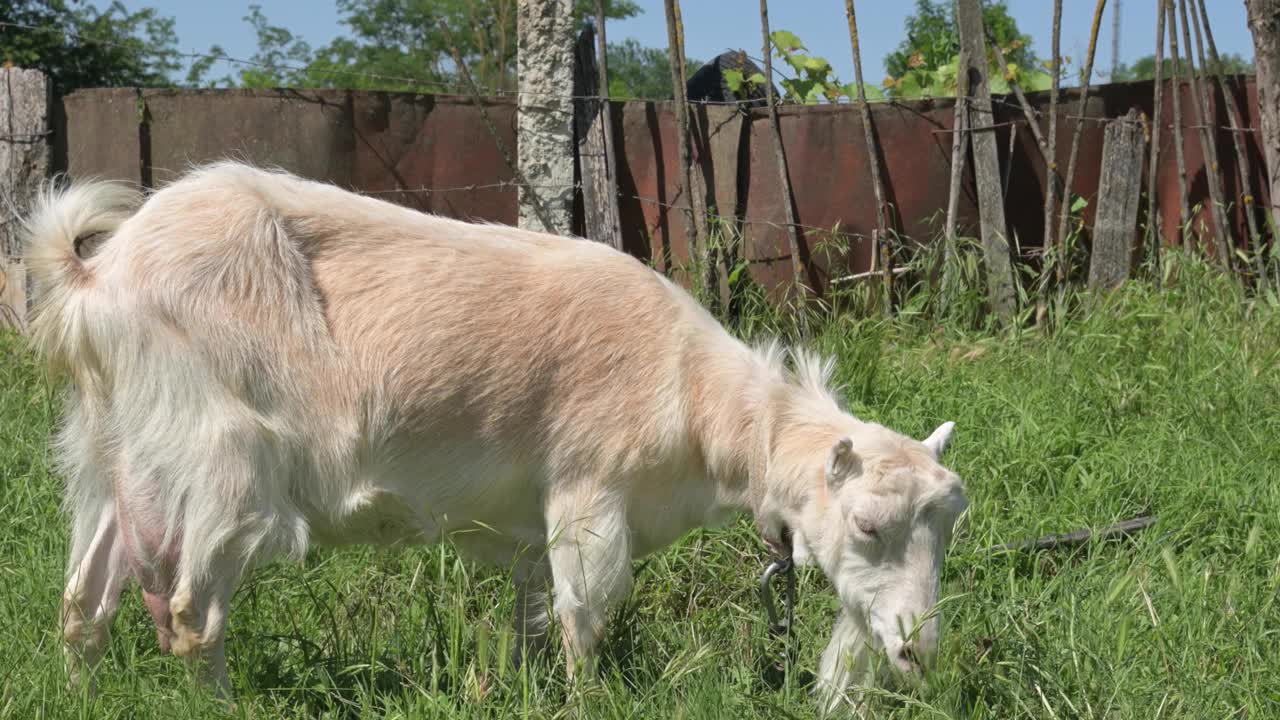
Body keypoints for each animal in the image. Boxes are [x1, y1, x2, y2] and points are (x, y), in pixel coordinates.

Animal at [24, 161, 962, 707]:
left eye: (948, 528)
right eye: (868, 527)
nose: (919, 652)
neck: (697, 396)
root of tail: (98, 273)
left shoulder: (525, 529)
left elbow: (533, 620)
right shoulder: (589, 496)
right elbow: (586, 619)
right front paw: (590, 699)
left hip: (114, 451)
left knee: (83, 602)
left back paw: (78, 694)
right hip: (222, 461)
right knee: (190, 614)